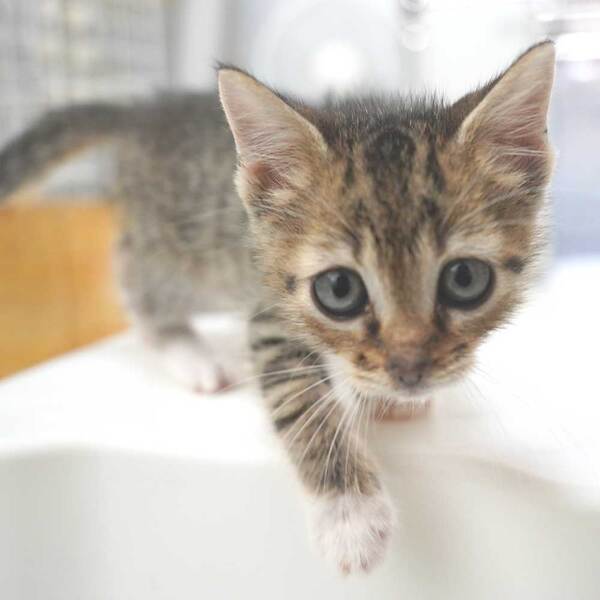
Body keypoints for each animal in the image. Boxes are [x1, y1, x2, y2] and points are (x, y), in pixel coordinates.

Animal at [0, 41, 555, 573]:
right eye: (339, 290)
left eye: (465, 280)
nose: (409, 371)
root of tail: (144, 113)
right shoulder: (269, 311)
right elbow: (300, 398)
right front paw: (350, 515)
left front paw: (383, 398)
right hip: (179, 253)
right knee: (137, 284)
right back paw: (190, 353)